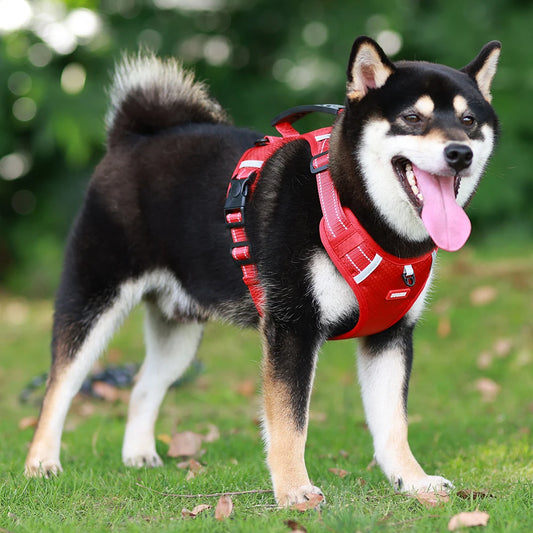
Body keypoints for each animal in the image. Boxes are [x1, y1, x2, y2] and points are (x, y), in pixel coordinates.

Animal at [25, 36, 498, 502]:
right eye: (412, 118)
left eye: (469, 120)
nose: (459, 153)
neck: (355, 209)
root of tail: (134, 139)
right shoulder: (292, 326)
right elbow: (290, 422)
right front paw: (294, 490)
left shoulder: (391, 334)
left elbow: (393, 424)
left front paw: (413, 481)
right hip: (93, 298)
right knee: (58, 387)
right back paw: (41, 462)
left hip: (178, 332)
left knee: (142, 386)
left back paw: (138, 454)